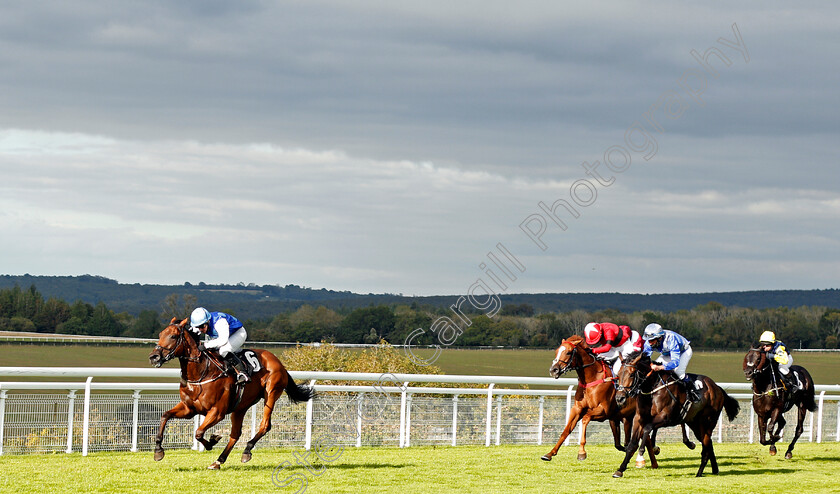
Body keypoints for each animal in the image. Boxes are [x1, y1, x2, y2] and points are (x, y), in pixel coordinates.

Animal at [148, 318, 316, 468]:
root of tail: (279, 362)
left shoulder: (217, 412)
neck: (201, 373)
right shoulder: (189, 408)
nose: (153, 357)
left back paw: (246, 451)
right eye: (160, 334)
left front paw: (212, 441)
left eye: (173, 336)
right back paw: (218, 461)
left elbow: (199, 432)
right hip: (240, 407)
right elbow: (165, 416)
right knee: (235, 434)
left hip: (271, 393)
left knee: (265, 425)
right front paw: (158, 450)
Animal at [608, 350, 740, 476]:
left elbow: (647, 428)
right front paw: (620, 470)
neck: (652, 389)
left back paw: (699, 473)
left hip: (707, 421)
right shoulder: (639, 418)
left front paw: (640, 458)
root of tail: (717, 388)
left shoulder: (666, 417)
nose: (619, 398)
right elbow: (632, 444)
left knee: (706, 446)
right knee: (707, 443)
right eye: (618, 375)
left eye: (631, 374)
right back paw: (714, 469)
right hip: (694, 423)